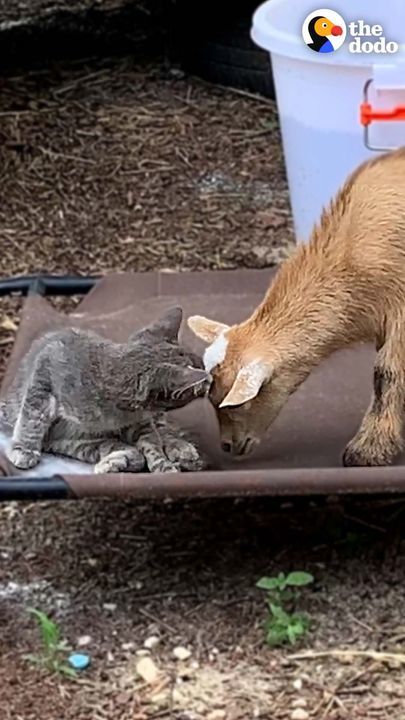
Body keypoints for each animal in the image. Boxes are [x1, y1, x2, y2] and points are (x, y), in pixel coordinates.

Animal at [0, 306, 208, 476]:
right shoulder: (46, 368)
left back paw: (180, 448)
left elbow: (152, 443)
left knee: (161, 431)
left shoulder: (139, 422)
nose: (209, 377)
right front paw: (24, 450)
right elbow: (33, 418)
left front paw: (162, 465)